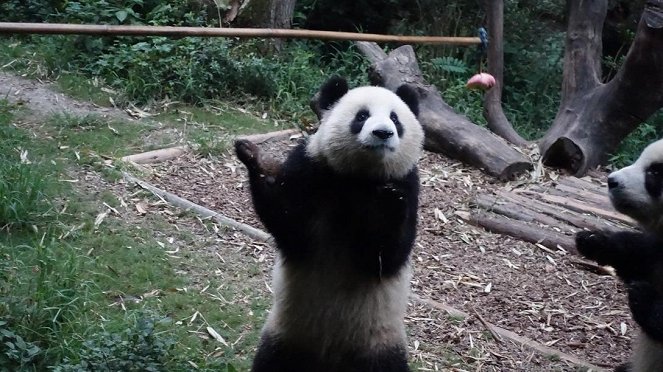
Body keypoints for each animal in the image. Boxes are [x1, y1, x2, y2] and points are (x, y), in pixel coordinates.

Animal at [236, 76, 426, 372]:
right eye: (362, 116)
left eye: (395, 119)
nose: (383, 133)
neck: (360, 177)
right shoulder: (312, 167)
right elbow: (290, 226)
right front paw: (258, 162)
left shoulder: (409, 182)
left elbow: (387, 257)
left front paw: (390, 201)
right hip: (287, 336)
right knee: (271, 361)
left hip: (380, 346)